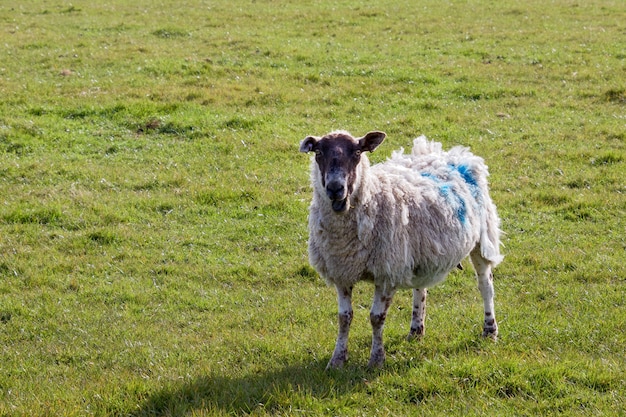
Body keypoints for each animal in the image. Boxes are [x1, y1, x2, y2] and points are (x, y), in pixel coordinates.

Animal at [298, 130, 502, 368]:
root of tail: (446, 153)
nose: (335, 188)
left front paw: (376, 360)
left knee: (485, 285)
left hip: (482, 237)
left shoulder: (386, 273)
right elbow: (344, 317)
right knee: (421, 288)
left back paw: (490, 330)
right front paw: (337, 359)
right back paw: (416, 330)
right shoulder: (341, 271)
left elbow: (376, 318)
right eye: (318, 153)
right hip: (422, 252)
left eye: (357, 152)